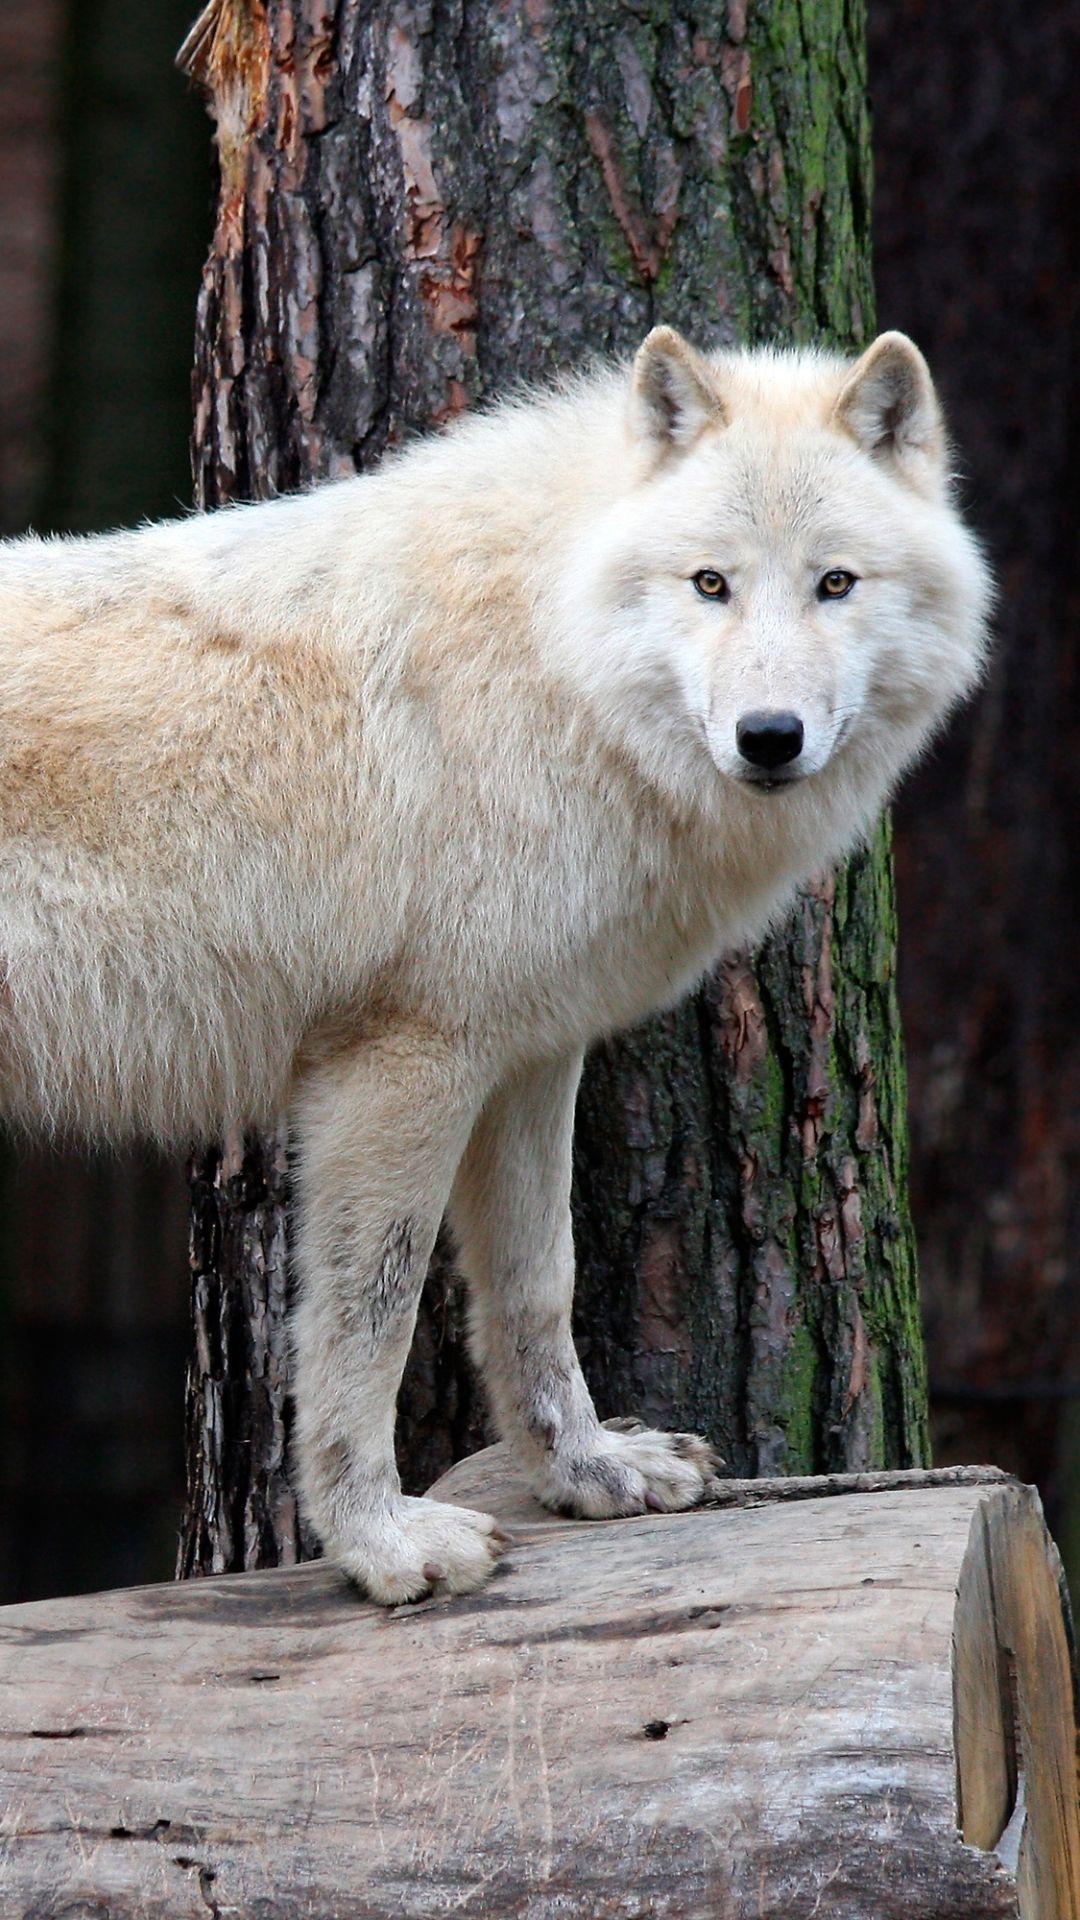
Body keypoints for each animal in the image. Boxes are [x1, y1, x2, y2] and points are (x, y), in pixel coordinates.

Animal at [0, 328, 989, 1603]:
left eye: (835, 584)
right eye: (710, 584)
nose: (768, 739)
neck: (553, 656)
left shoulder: (529, 1053)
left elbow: (535, 1284)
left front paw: (589, 1471)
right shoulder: (404, 1062)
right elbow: (367, 1320)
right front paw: (382, 1546)